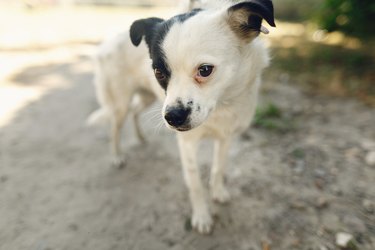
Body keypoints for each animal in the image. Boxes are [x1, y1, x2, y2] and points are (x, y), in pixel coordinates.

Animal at [88, 0, 276, 234]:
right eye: (159, 72)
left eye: (205, 70)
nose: (173, 118)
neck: (221, 105)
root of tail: (105, 44)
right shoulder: (187, 144)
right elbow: (195, 184)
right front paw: (202, 216)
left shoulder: (226, 136)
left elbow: (218, 168)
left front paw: (218, 192)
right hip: (121, 102)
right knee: (115, 126)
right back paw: (116, 156)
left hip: (148, 98)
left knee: (135, 111)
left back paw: (140, 137)